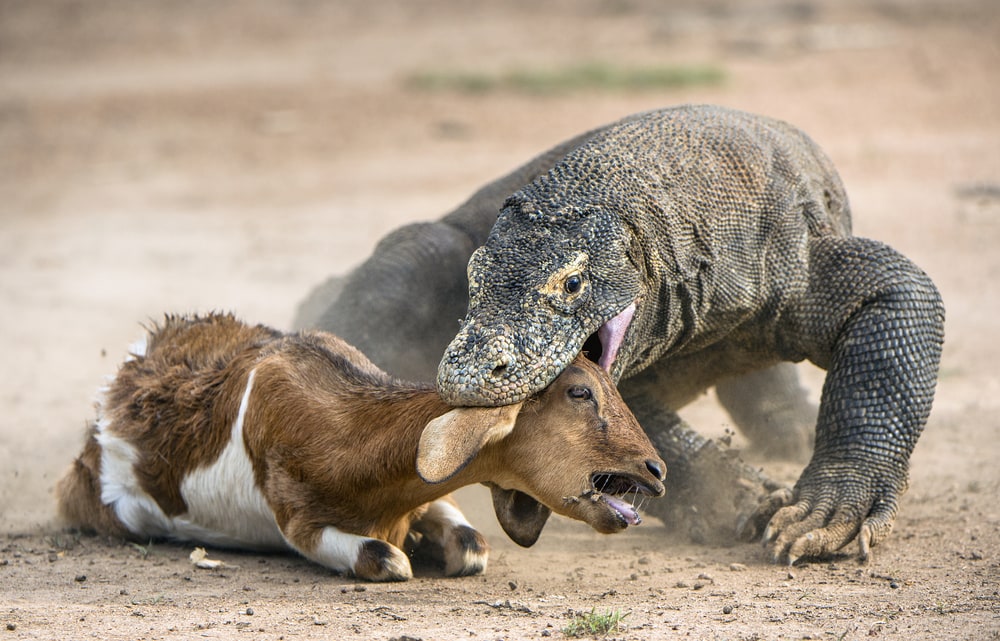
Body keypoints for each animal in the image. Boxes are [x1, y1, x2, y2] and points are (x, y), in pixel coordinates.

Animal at [56, 313, 665, 581]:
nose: (655, 469)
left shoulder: (427, 496)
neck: (349, 430)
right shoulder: (299, 521)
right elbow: (386, 560)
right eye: (579, 392)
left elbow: (471, 545)